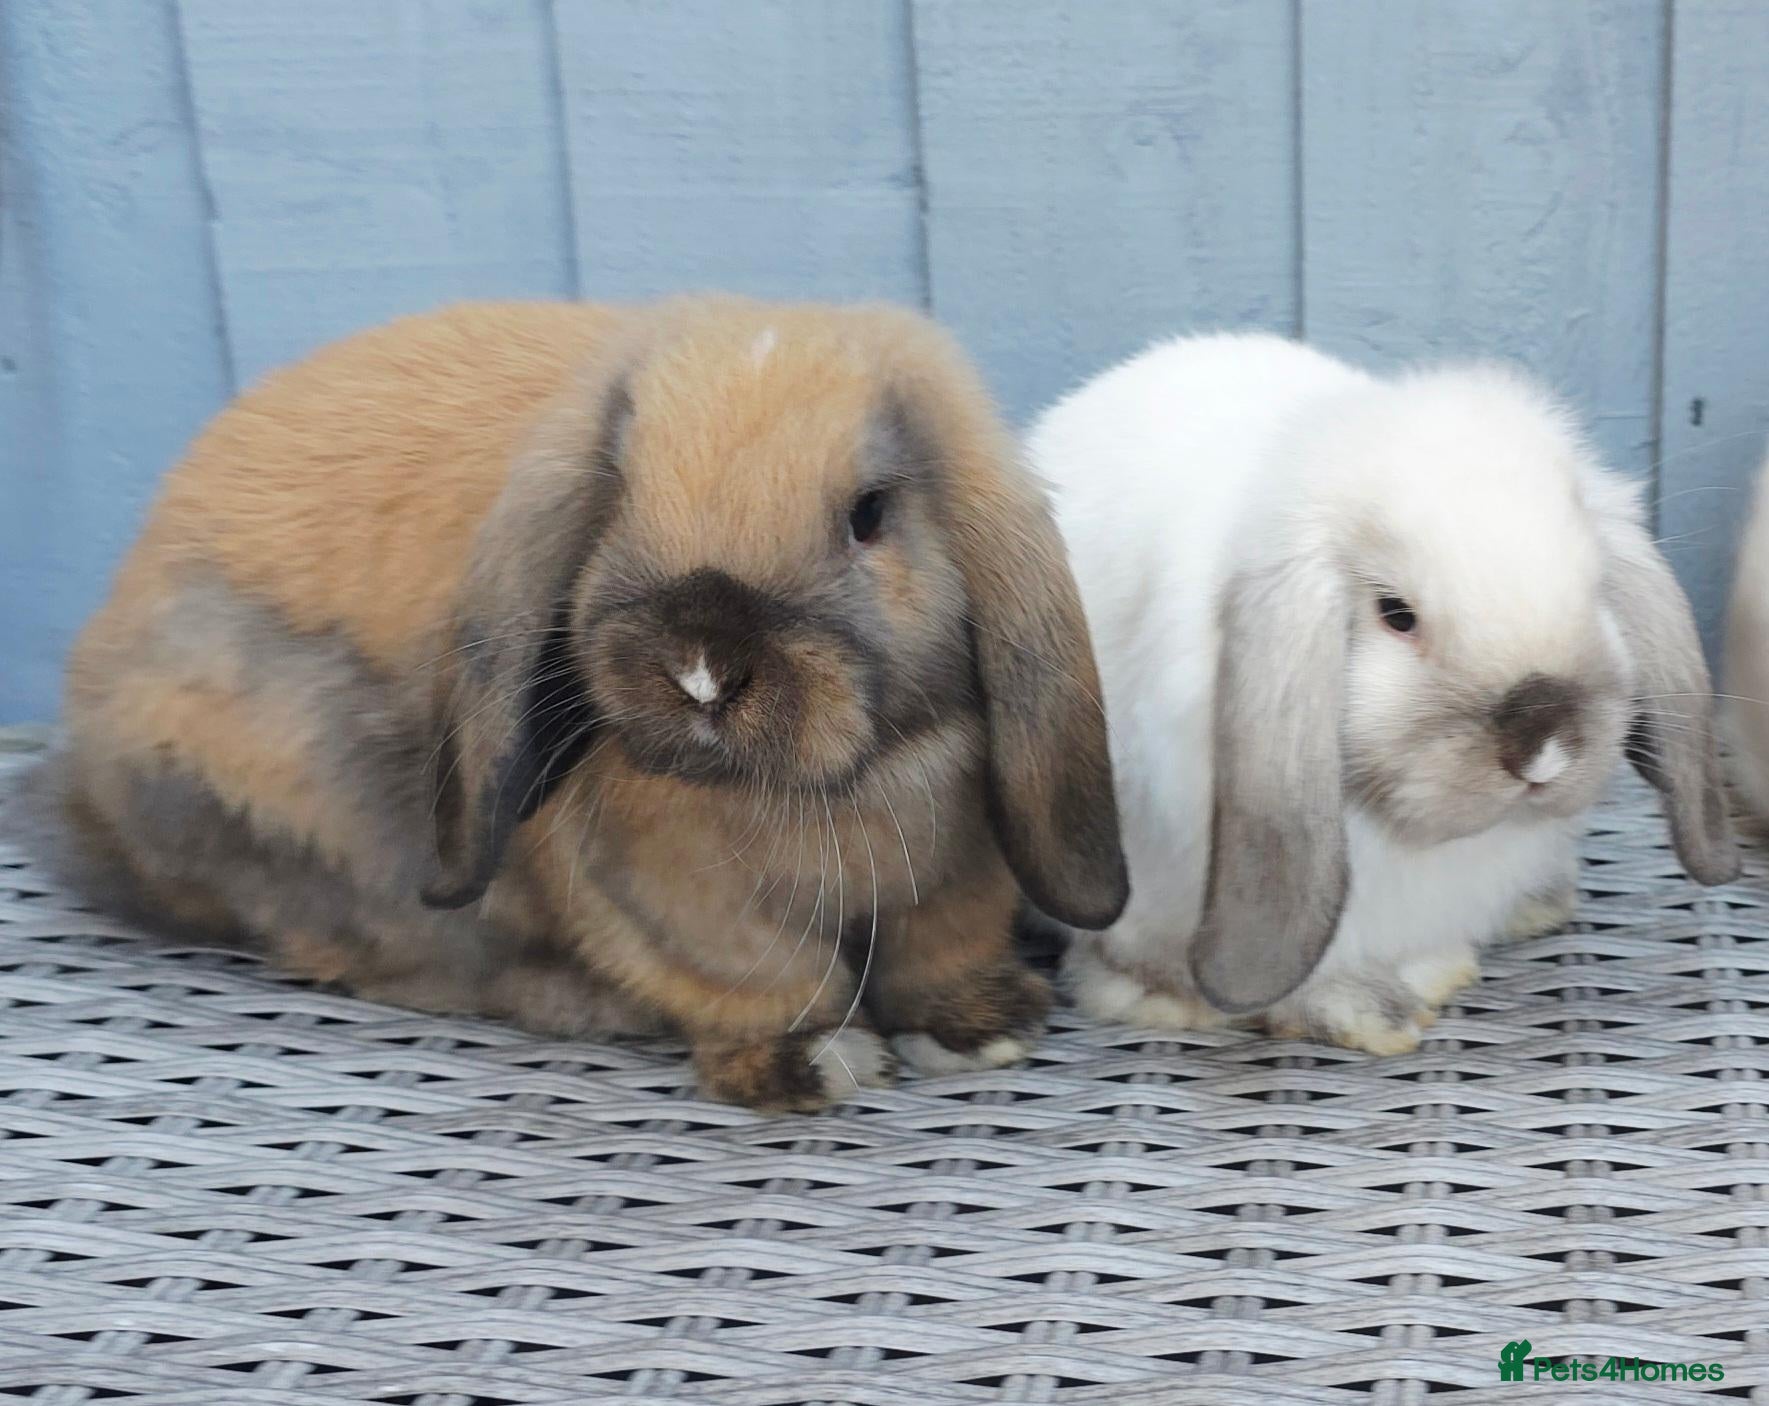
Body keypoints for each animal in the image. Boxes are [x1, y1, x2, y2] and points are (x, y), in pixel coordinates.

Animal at [53, 297, 1128, 1112]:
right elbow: (763, 978)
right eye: (620, 498)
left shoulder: (959, 869)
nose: (702, 667)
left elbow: (938, 950)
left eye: (869, 513)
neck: (832, 789)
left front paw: (983, 1029)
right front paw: (804, 1066)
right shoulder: (665, 904)